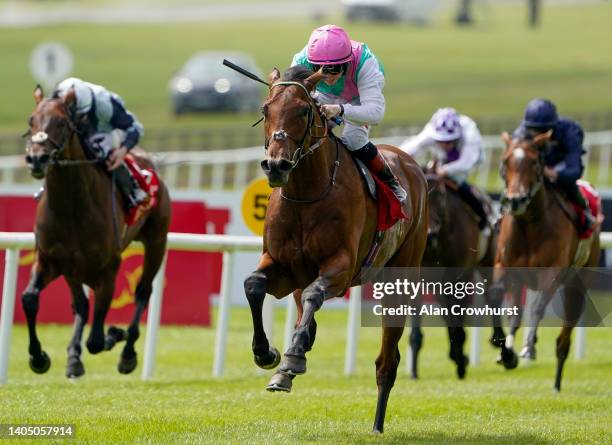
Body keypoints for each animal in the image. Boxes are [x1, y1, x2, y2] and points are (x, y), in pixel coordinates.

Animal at [22, 85, 171, 376]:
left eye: (61, 122)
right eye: (31, 120)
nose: (37, 159)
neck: (71, 206)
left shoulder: (109, 267)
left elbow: (97, 339)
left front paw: (115, 334)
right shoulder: (50, 259)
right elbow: (30, 299)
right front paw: (39, 357)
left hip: (157, 241)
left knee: (142, 291)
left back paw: (127, 351)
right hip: (73, 268)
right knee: (80, 305)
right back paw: (73, 355)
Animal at [241, 67, 428, 432]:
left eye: (303, 111)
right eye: (265, 110)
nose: (276, 166)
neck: (305, 195)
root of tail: (408, 161)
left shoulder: (341, 267)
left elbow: (315, 294)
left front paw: (291, 359)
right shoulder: (281, 265)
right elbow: (253, 285)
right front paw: (267, 353)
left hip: (400, 278)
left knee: (387, 362)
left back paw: (377, 424)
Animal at [406, 169, 498, 378]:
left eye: (440, 195)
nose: (429, 234)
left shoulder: (459, 276)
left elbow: (458, 317)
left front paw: (461, 359)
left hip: (486, 262)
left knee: (492, 296)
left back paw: (505, 353)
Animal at [490, 130, 600, 390]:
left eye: (533, 162)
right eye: (506, 161)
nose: (516, 200)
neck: (529, 223)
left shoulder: (553, 271)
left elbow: (538, 307)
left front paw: (528, 348)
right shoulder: (504, 266)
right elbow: (496, 297)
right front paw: (505, 352)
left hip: (578, 281)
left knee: (566, 329)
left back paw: (557, 380)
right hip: (521, 280)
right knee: (516, 313)